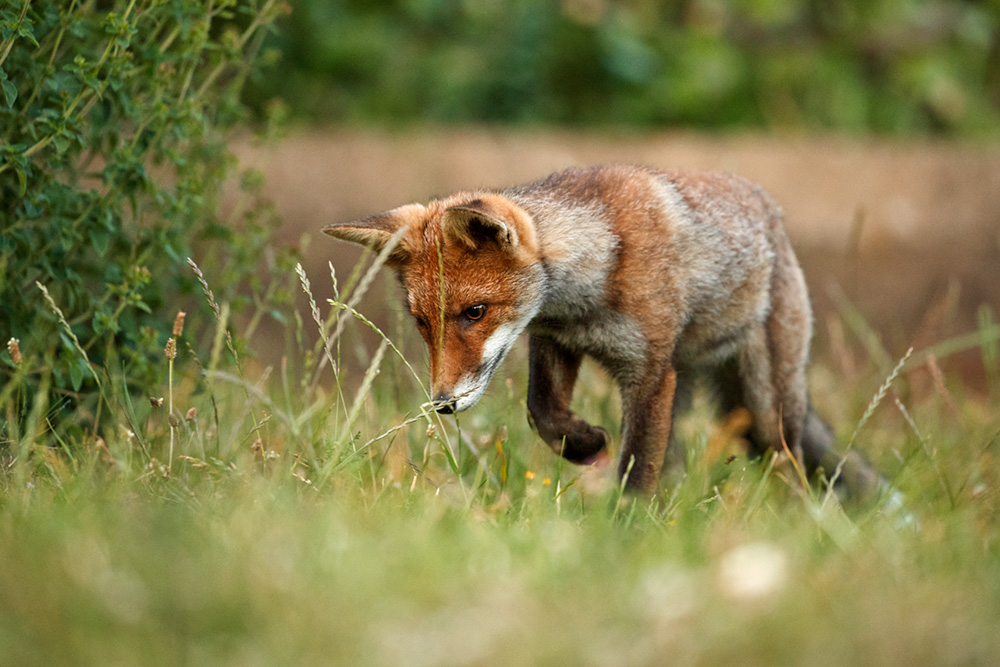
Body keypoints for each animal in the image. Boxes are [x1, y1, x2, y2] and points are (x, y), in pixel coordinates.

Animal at [323, 164, 881, 499]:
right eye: (422, 322)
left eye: (475, 312)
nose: (441, 404)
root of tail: (773, 214)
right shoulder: (555, 340)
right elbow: (543, 413)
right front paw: (585, 444)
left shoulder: (648, 373)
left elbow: (635, 467)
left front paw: (625, 531)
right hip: (694, 394)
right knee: (676, 462)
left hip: (765, 413)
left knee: (791, 456)